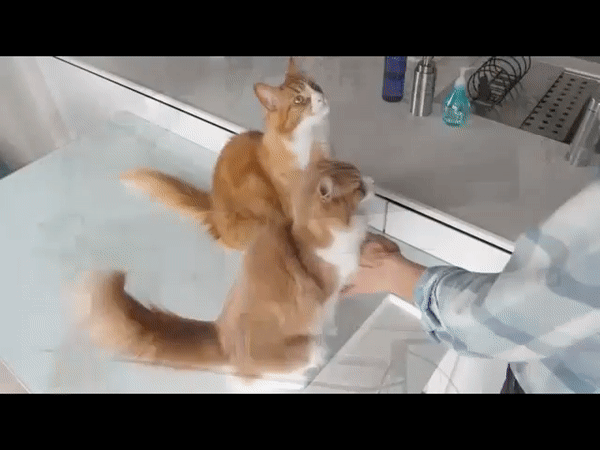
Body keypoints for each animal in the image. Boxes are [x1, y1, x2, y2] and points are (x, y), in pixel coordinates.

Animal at [72, 158, 375, 392]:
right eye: (359, 187)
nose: (372, 181)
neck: (305, 234)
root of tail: (220, 337)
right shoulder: (334, 278)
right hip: (302, 352)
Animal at [120, 57, 331, 251]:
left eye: (315, 86)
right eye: (299, 100)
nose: (321, 98)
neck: (311, 142)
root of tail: (213, 209)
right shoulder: (291, 200)